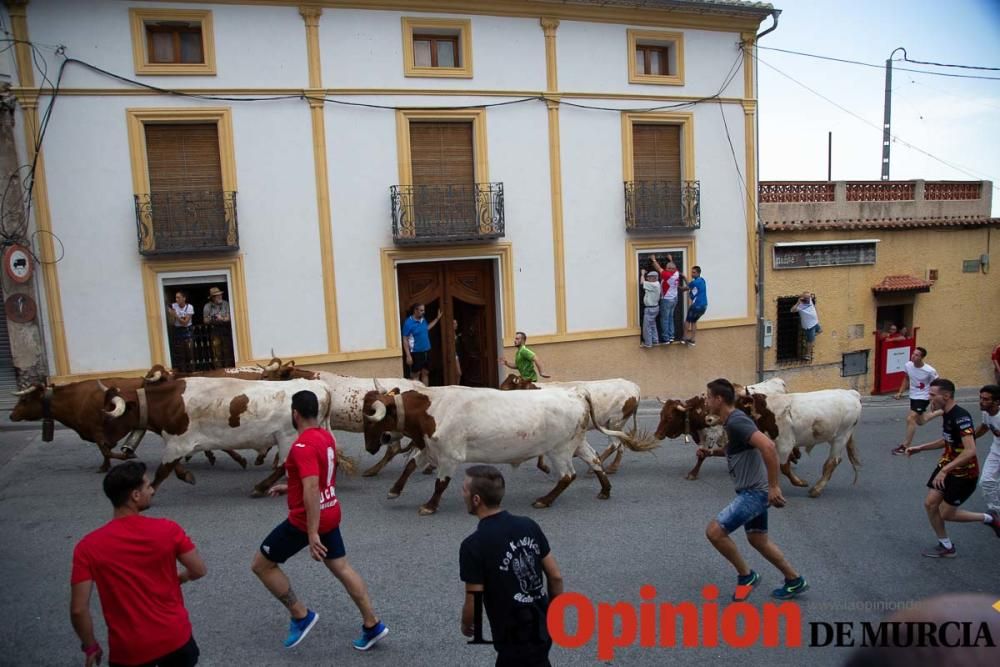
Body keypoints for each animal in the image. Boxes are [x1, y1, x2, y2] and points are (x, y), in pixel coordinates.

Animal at [100, 376, 340, 496]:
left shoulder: (178, 442)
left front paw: (149, 491)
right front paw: (186, 474)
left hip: (287, 437)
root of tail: (318, 385)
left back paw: (260, 487)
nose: (103, 440)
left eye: (110, 413)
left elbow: (162, 471)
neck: (170, 401)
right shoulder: (176, 442)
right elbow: (173, 468)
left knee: (283, 466)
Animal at [498, 376, 640, 474]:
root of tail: (633, 386)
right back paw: (610, 466)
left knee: (616, 444)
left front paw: (544, 467)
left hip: (615, 421)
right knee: (619, 444)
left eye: (505, 389)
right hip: (614, 423)